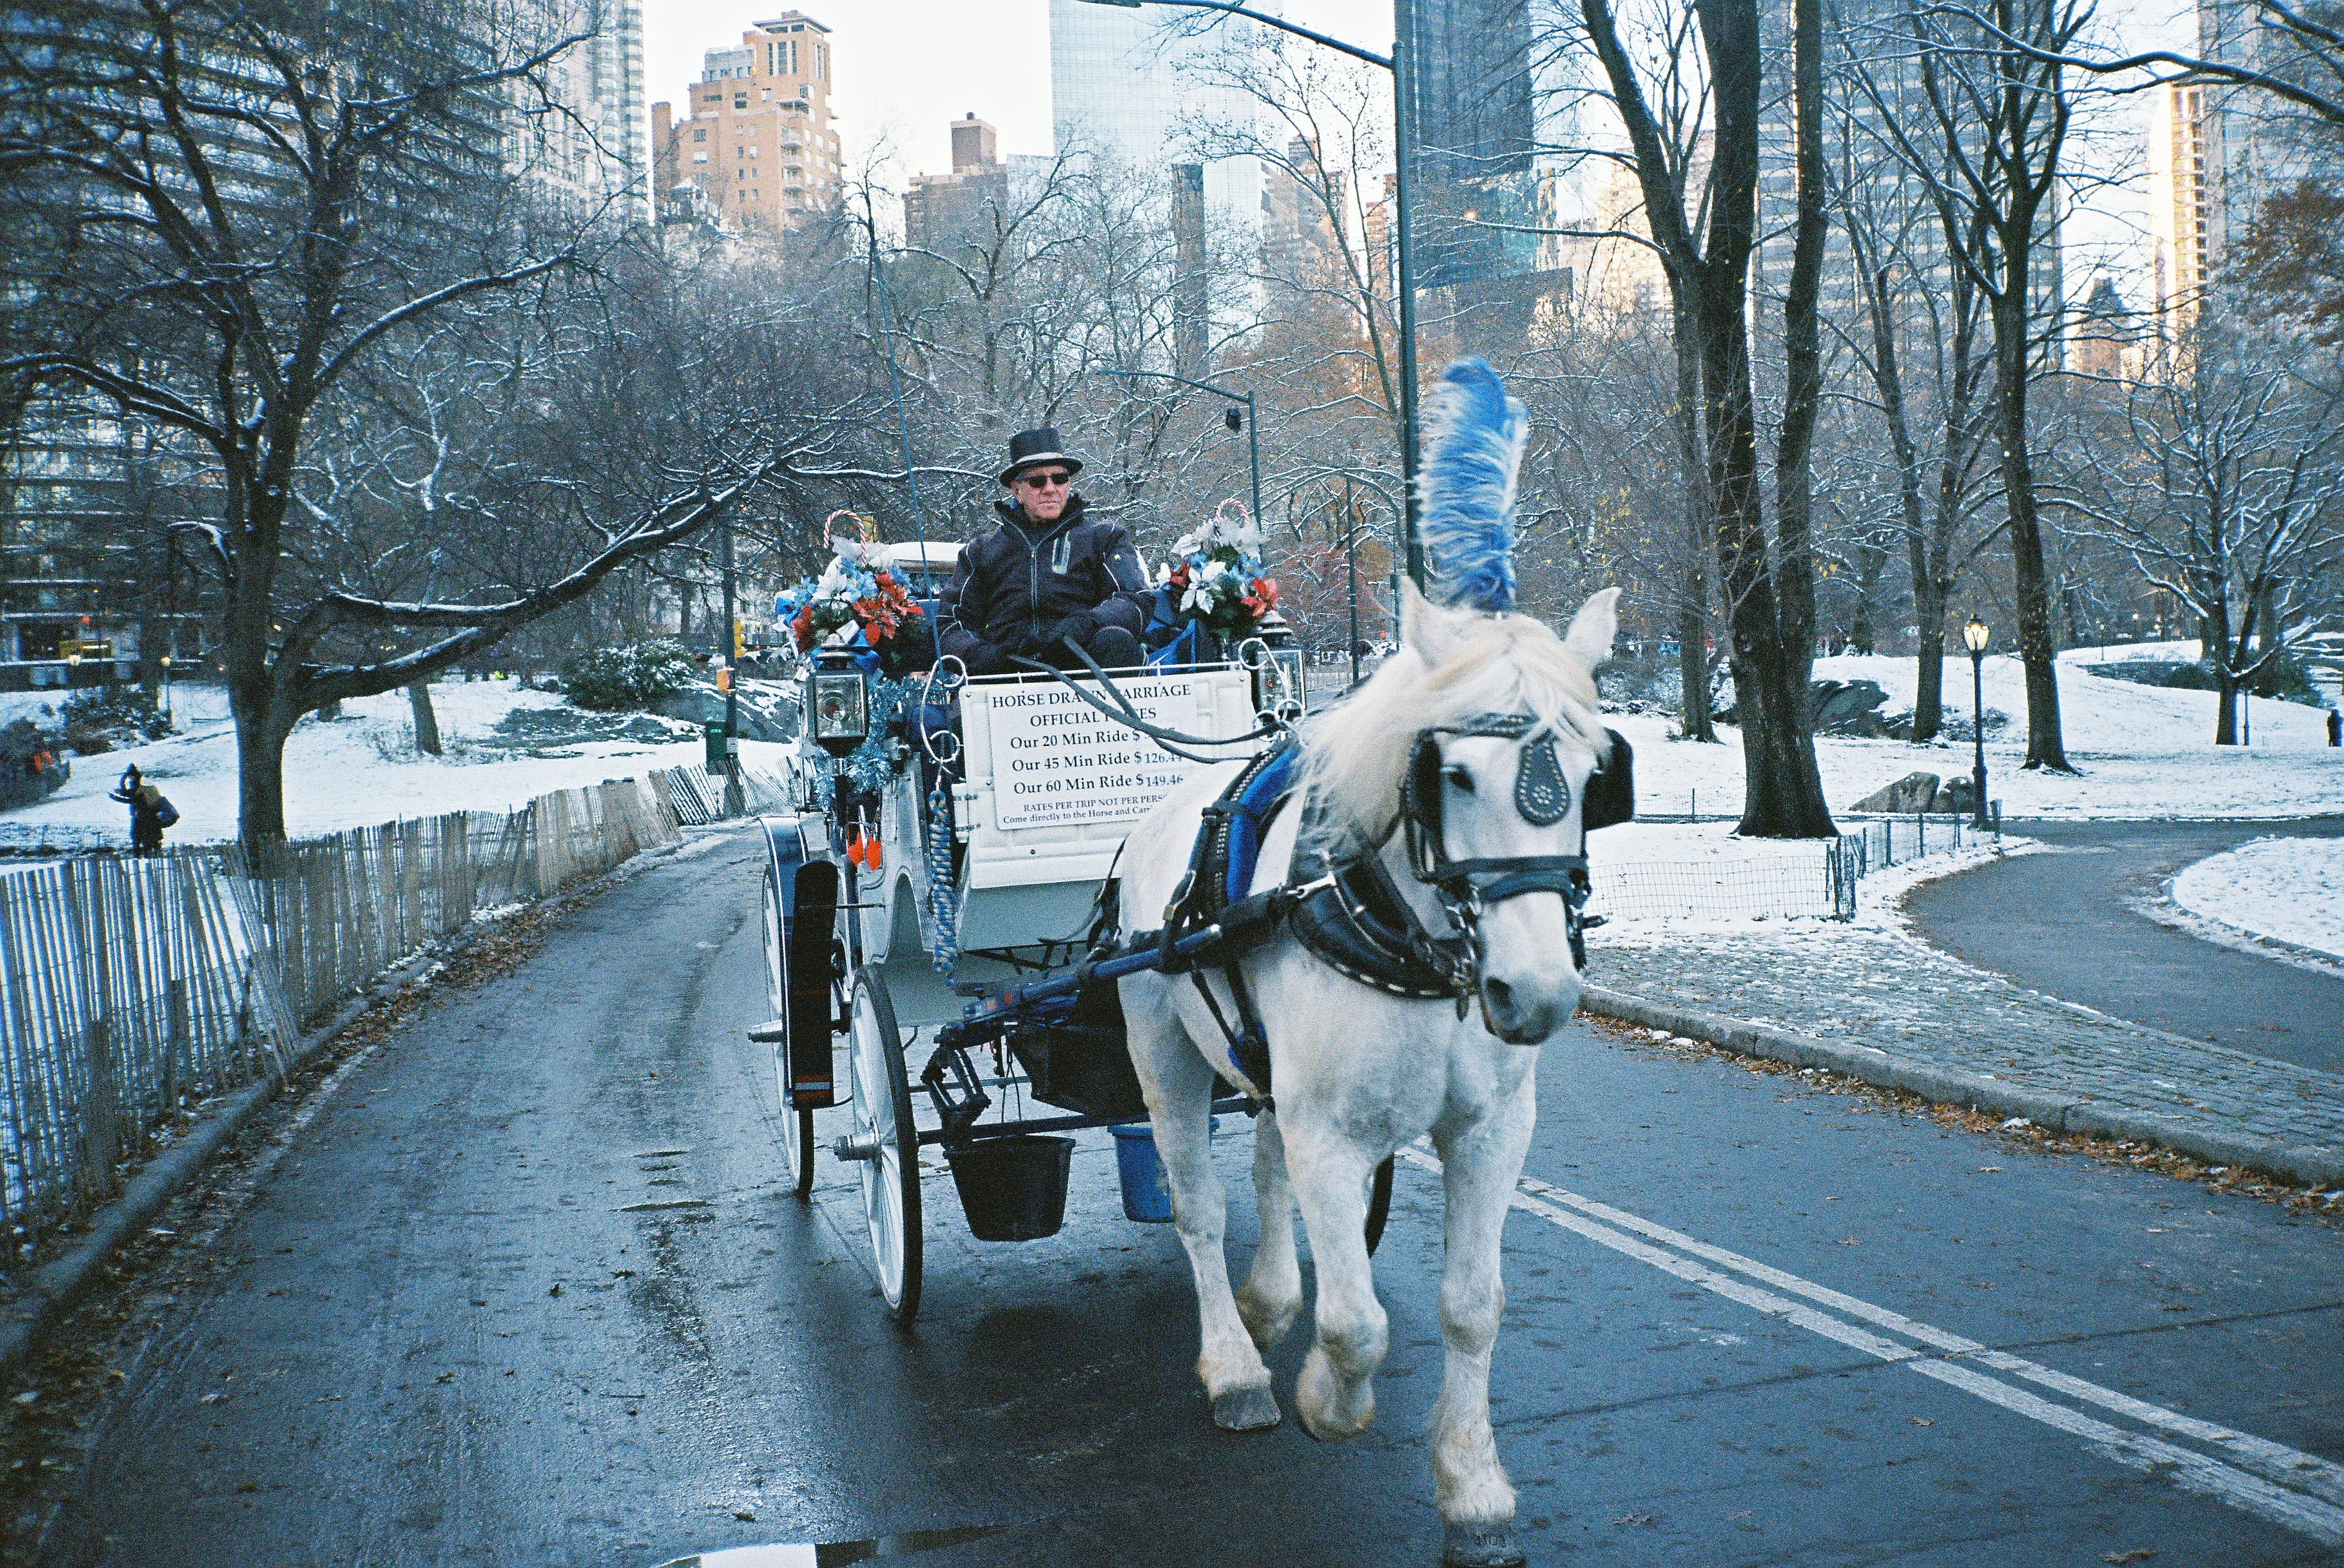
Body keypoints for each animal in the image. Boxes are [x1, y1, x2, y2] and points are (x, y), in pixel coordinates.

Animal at [1116, 579, 1613, 1565]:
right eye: (1452, 774)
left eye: (1589, 777)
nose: (1537, 992)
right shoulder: (1334, 1138)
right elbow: (1355, 1321)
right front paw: (1326, 1400)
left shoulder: (1492, 1132)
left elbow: (1473, 1304)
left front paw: (1473, 1488)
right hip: (1163, 1050)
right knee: (1199, 1207)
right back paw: (1235, 1367)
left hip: (1265, 1068)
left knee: (1266, 1172)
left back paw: (1268, 1302)